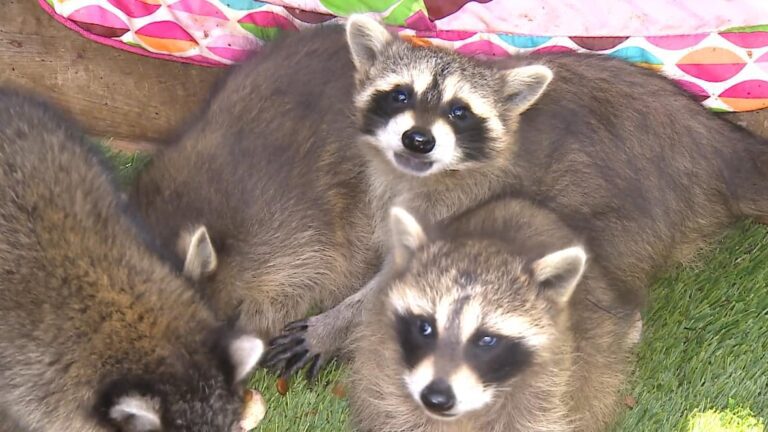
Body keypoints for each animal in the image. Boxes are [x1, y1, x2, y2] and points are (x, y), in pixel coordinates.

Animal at [272, 16, 768, 374]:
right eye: (400, 95)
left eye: (459, 111)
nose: (418, 140)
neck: (427, 174)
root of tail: (718, 143)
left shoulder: (465, 202)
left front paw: (334, 324)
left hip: (632, 203)